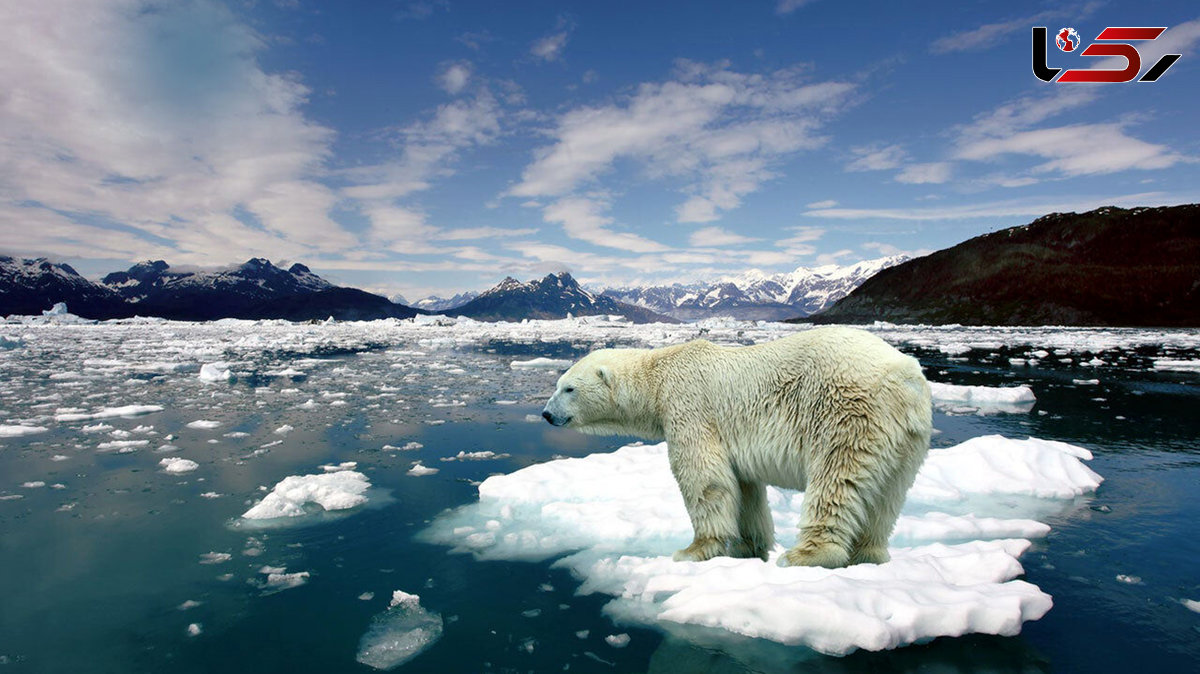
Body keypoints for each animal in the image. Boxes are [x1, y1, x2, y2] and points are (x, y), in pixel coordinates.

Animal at [540, 326, 931, 566]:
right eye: (558, 384)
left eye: (568, 388)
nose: (545, 414)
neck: (658, 376)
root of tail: (905, 376)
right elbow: (744, 489)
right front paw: (748, 547)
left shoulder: (689, 406)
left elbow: (704, 478)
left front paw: (693, 550)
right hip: (907, 438)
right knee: (887, 495)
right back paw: (868, 554)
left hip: (847, 411)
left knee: (836, 479)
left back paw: (805, 555)